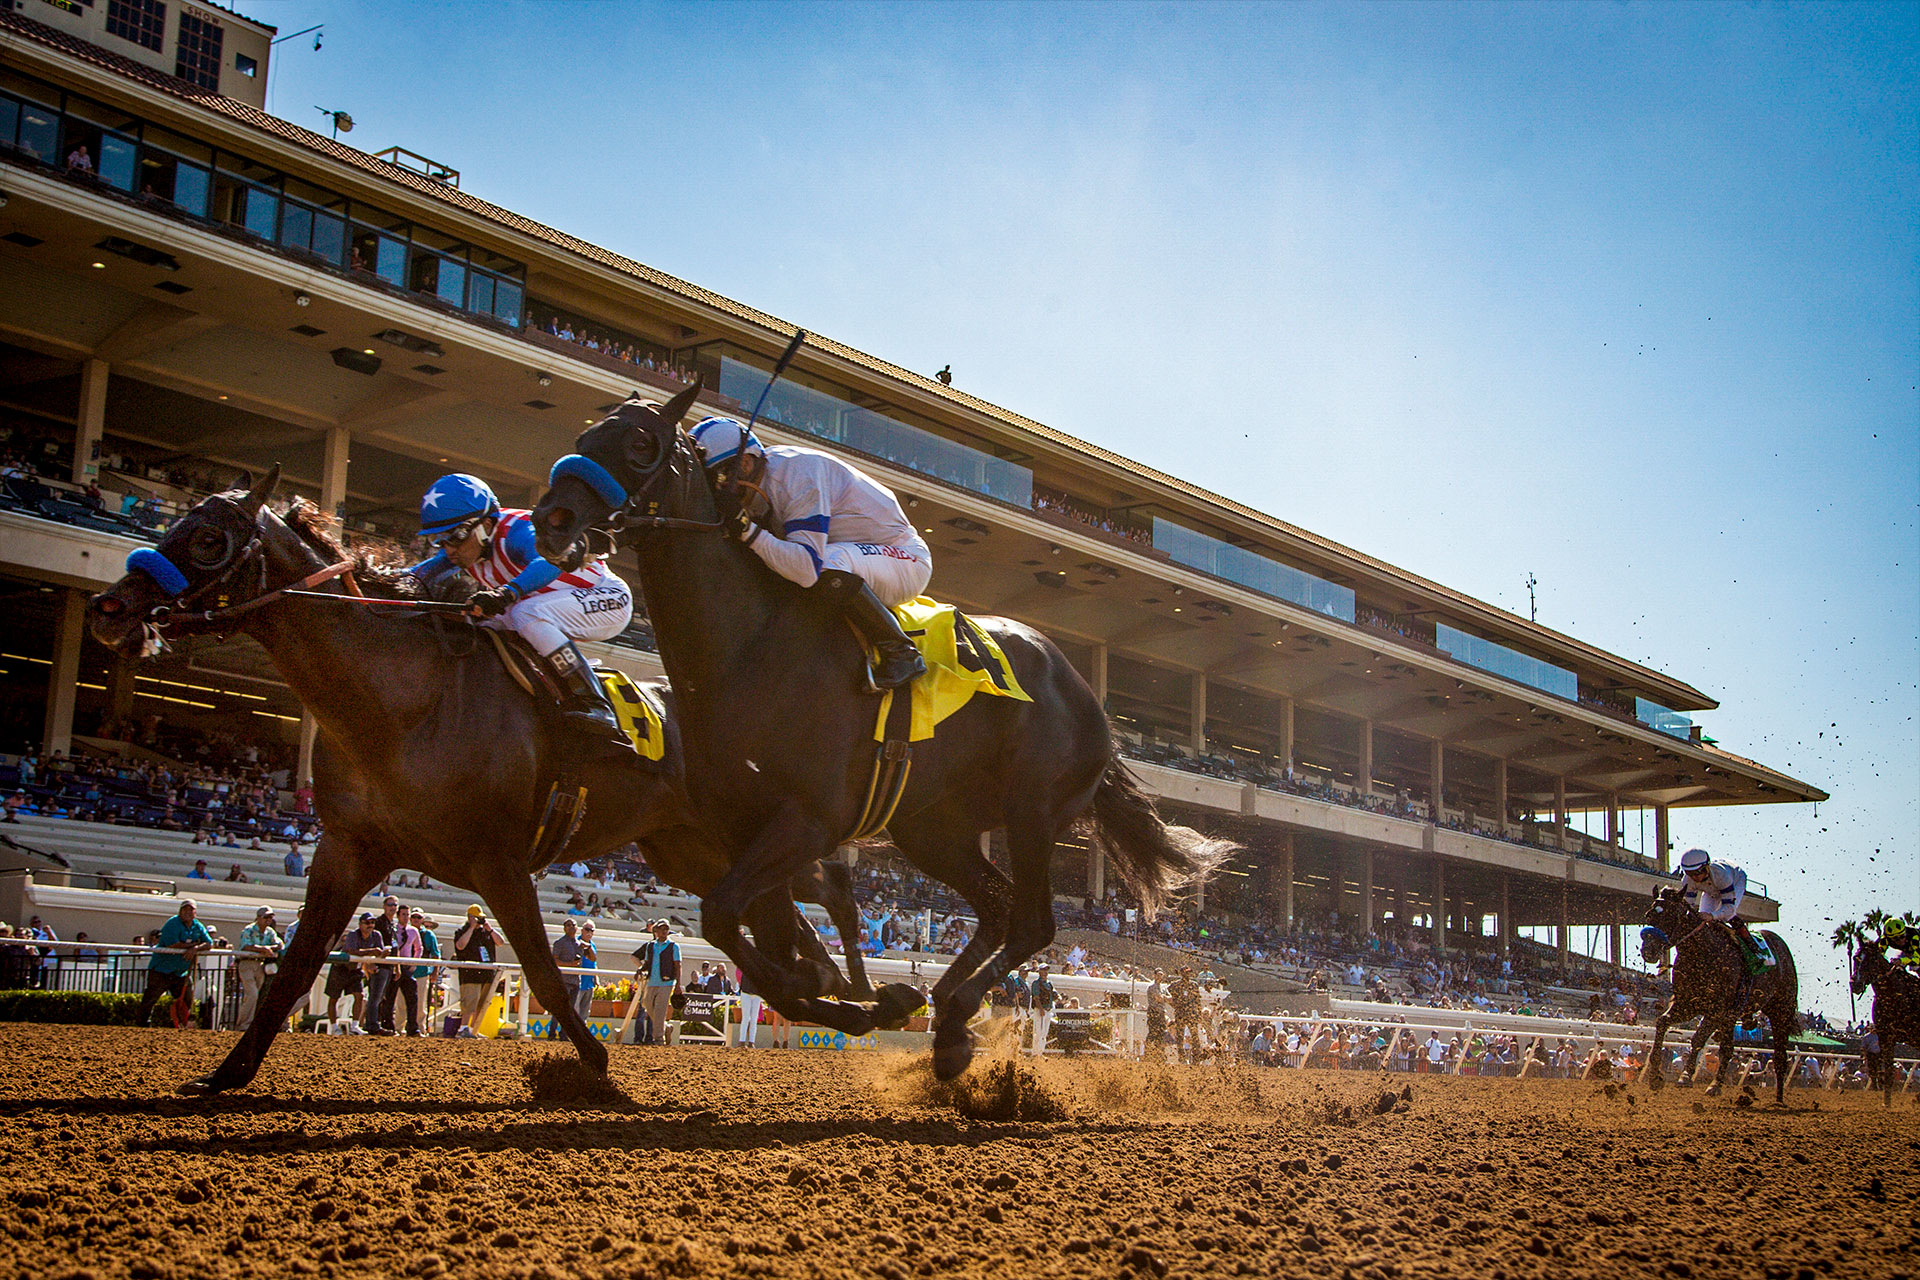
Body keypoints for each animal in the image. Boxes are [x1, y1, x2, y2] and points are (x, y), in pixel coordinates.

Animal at [88, 475, 871, 1097]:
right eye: (177, 521)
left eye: (209, 538)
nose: (108, 610)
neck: (401, 698)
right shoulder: (349, 847)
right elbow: (294, 966)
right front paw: (225, 1075)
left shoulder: (498, 859)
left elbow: (548, 973)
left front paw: (595, 1068)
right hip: (686, 851)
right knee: (789, 914)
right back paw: (841, 992)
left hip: (743, 832)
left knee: (820, 887)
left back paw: (849, 986)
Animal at [533, 383, 1228, 1082]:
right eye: (589, 434)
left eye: (640, 444)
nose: (553, 521)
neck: (749, 646)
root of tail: (1088, 698)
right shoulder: (736, 829)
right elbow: (760, 933)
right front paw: (865, 998)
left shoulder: (808, 820)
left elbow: (733, 917)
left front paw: (856, 999)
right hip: (931, 828)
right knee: (997, 906)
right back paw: (944, 1011)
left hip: (1032, 809)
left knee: (1032, 921)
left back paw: (953, 1010)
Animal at [1850, 948, 1912, 1105]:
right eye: (1855, 958)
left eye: (1871, 961)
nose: (1855, 984)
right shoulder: (1886, 1036)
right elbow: (1886, 1072)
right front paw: (1886, 1103)